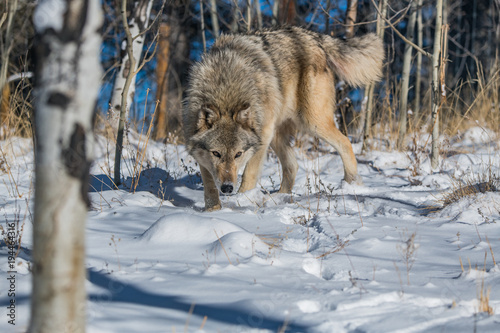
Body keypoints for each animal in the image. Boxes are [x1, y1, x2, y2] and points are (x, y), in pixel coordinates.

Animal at [184, 26, 382, 210]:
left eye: (238, 154)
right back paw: (280, 197)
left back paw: (352, 183)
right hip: (278, 132)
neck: (224, 89)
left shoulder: (262, 136)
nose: (227, 188)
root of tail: (314, 37)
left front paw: (241, 202)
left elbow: (249, 173)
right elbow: (209, 183)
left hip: (310, 123)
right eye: (216, 153)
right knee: (293, 165)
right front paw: (212, 210)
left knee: (345, 142)